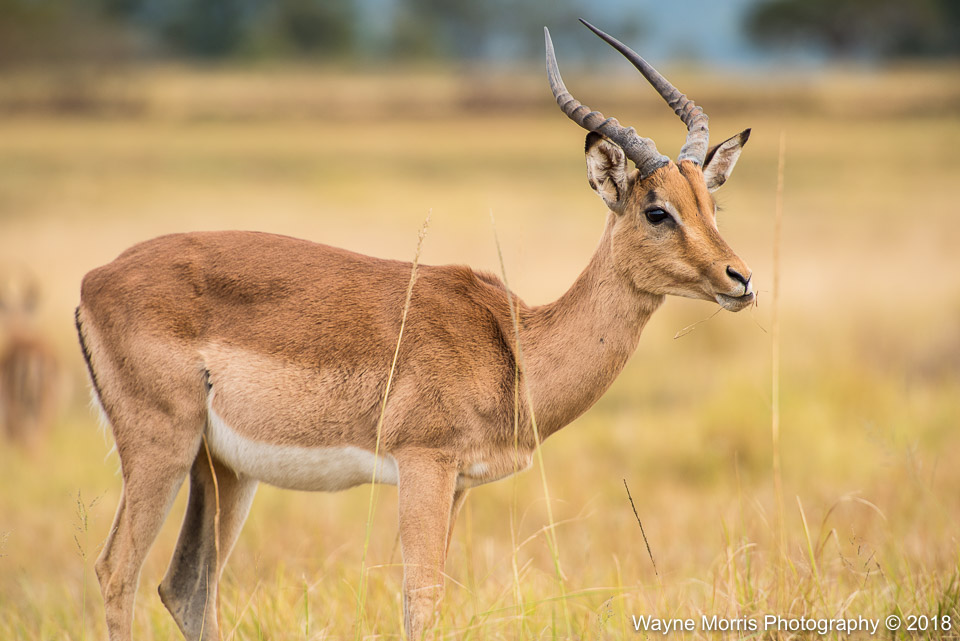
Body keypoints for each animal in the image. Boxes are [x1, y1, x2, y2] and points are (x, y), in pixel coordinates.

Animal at [75, 20, 754, 641]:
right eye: (657, 211)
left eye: (711, 206)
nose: (741, 279)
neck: (515, 346)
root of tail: (94, 279)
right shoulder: (423, 464)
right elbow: (420, 599)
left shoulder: (457, 484)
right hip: (161, 448)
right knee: (116, 571)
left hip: (222, 469)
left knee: (186, 586)